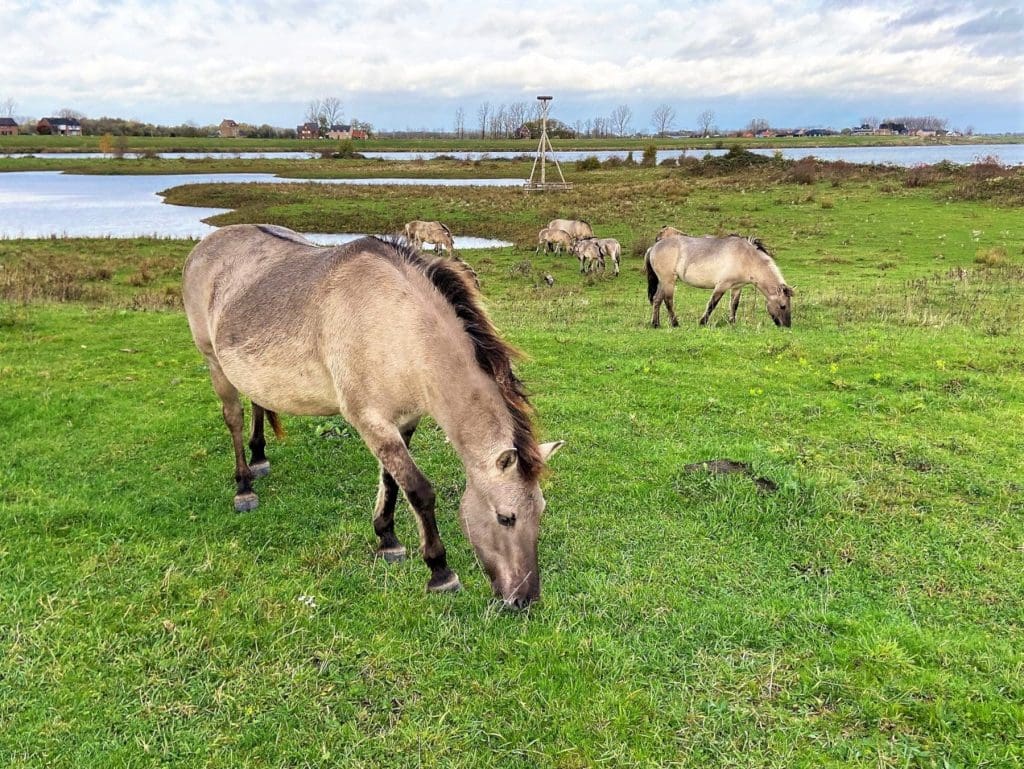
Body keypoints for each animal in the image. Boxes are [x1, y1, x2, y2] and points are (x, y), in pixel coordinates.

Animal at [186, 224, 569, 606]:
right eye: (506, 518)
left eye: (541, 511)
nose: (524, 599)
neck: (397, 328)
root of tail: (206, 244)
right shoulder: (370, 420)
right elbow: (418, 489)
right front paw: (439, 571)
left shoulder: (404, 421)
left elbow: (391, 480)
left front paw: (387, 539)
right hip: (214, 363)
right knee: (233, 417)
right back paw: (244, 486)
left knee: (257, 402)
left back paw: (259, 457)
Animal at [643, 234, 794, 331]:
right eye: (782, 306)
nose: (787, 326)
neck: (746, 257)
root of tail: (653, 247)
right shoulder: (722, 286)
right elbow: (712, 304)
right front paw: (703, 322)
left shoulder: (737, 287)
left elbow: (734, 305)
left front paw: (732, 323)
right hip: (669, 280)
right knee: (668, 301)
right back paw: (675, 323)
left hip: (663, 282)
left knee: (657, 300)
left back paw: (655, 324)